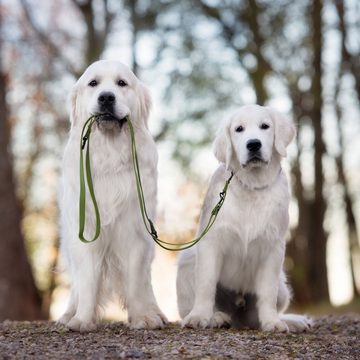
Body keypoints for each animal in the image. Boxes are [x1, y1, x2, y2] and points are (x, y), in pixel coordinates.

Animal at [58, 59, 167, 332]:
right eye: (93, 83)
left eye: (121, 83)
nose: (106, 97)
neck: (109, 156)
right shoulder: (85, 231)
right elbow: (87, 281)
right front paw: (82, 320)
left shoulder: (135, 231)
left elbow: (136, 281)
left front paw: (143, 318)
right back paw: (69, 314)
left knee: (146, 282)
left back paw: (156, 312)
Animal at [177, 104, 312, 332]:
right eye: (239, 129)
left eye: (265, 126)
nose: (254, 144)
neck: (252, 186)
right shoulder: (211, 242)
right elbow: (206, 284)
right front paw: (199, 316)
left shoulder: (273, 248)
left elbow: (267, 292)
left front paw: (272, 322)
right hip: (187, 259)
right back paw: (217, 317)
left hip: (282, 284)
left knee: (256, 316)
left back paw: (291, 321)